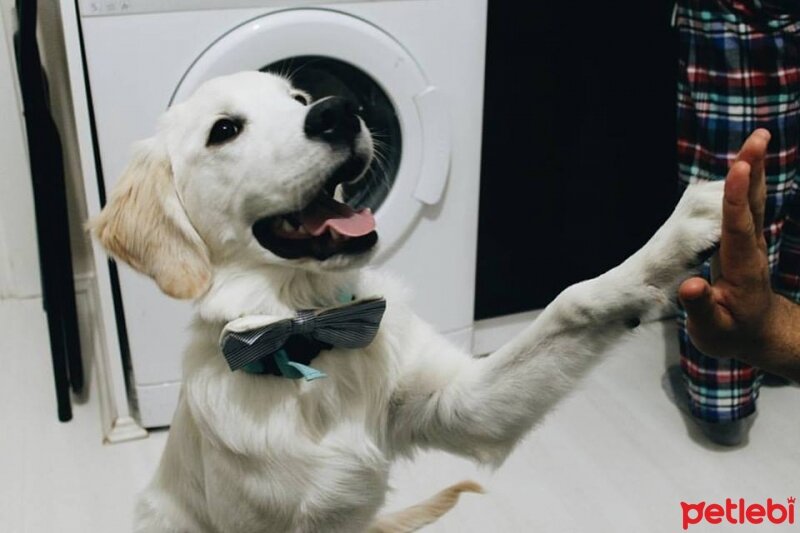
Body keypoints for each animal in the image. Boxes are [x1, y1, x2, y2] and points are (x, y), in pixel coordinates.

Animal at [90, 71, 720, 532]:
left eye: (298, 98)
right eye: (224, 129)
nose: (338, 111)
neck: (310, 332)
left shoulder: (463, 405)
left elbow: (571, 299)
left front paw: (684, 228)